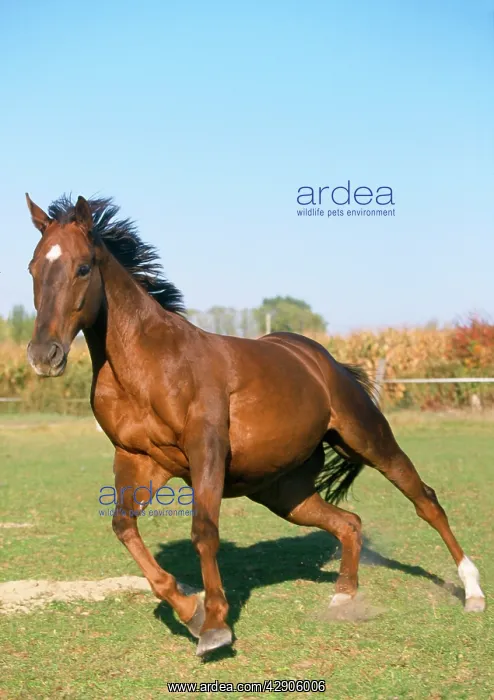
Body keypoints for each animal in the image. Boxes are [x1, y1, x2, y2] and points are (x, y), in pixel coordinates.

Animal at [25, 193, 486, 656]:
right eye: (32, 268)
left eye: (83, 267)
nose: (44, 355)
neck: (149, 364)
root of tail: (323, 360)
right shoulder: (138, 458)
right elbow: (123, 527)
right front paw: (191, 613)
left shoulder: (206, 450)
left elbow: (204, 532)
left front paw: (214, 626)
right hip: (284, 492)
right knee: (349, 523)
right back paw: (343, 599)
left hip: (368, 440)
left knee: (425, 500)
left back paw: (472, 592)